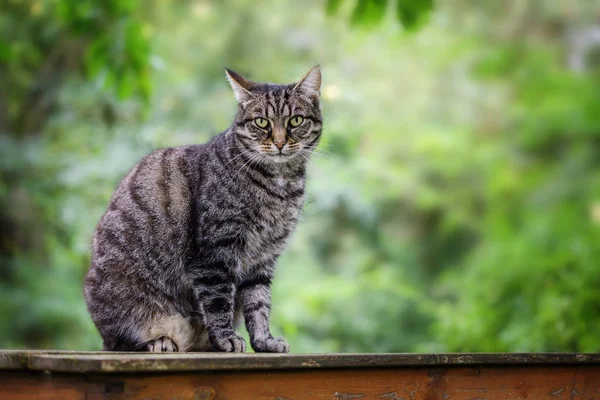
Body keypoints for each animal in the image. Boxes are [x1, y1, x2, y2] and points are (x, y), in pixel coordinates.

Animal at [83, 66, 324, 354]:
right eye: (262, 122)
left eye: (296, 120)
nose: (279, 142)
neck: (280, 185)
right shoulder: (213, 253)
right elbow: (218, 302)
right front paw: (226, 338)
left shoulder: (263, 258)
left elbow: (259, 304)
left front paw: (264, 341)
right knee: (122, 341)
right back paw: (161, 340)